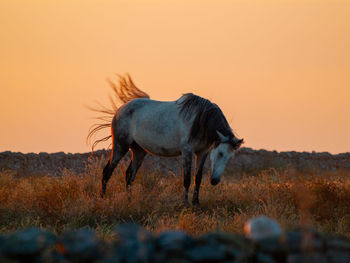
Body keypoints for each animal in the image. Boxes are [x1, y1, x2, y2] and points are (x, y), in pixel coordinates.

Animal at [87, 74, 243, 206]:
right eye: (220, 153)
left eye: (230, 157)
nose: (215, 181)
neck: (200, 120)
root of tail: (119, 110)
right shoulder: (187, 152)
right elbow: (186, 179)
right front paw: (185, 204)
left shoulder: (202, 152)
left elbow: (197, 178)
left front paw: (196, 203)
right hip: (120, 146)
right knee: (107, 172)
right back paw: (102, 199)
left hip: (139, 151)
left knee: (129, 175)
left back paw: (129, 201)